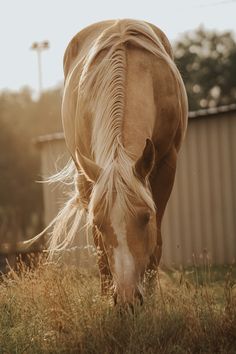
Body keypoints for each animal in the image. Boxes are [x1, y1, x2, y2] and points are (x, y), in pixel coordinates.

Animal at [42, 20, 188, 304]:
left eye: (145, 217)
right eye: (99, 223)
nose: (128, 299)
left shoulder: (167, 164)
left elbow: (157, 243)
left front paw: (151, 301)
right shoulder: (90, 178)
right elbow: (99, 249)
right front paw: (106, 300)